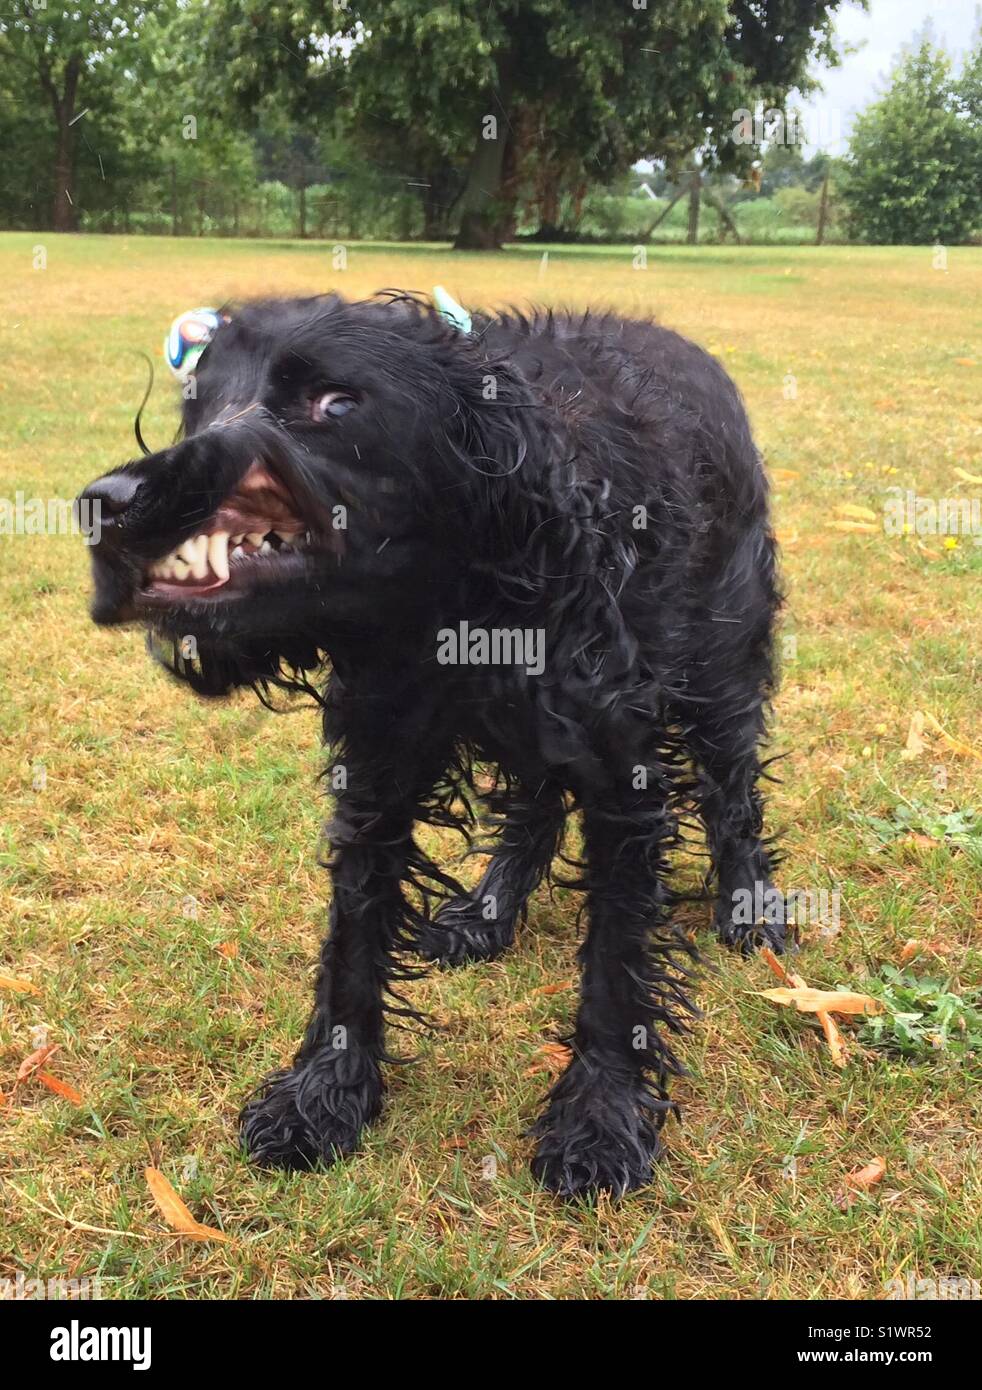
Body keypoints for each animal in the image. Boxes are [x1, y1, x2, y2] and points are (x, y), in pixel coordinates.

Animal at [78, 290, 778, 1195]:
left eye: (336, 405)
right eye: (196, 405)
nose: (107, 500)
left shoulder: (623, 769)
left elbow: (617, 961)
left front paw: (601, 1117)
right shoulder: (379, 763)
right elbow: (354, 937)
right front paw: (326, 1094)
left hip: (724, 658)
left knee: (733, 787)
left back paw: (750, 902)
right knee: (536, 806)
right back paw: (488, 909)